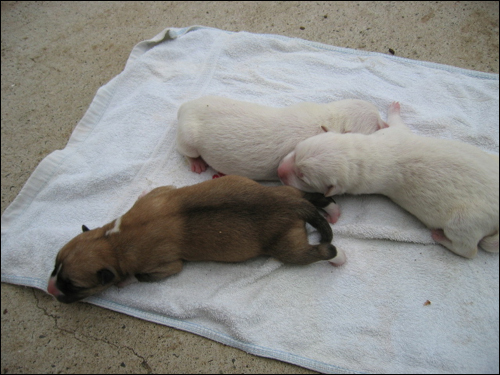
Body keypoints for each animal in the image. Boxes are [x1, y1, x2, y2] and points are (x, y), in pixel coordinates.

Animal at [47, 177, 344, 306]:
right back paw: (331, 209)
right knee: (312, 196)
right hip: (287, 191)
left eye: (73, 286)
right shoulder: (158, 195)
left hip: (287, 246)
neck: (113, 241)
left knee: (324, 249)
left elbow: (141, 275)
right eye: (54, 265)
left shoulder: (165, 266)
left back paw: (338, 257)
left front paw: (125, 281)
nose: (50, 290)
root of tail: (291, 206)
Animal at [176, 95, 386, 181]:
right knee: (183, 149)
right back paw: (196, 163)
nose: (387, 125)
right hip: (187, 137)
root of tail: (184, 107)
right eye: (376, 126)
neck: (331, 120)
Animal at [280, 101, 498, 260]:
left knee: (468, 250)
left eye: (302, 176)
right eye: (296, 151)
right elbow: (397, 126)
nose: (279, 171)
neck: (360, 154)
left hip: (464, 222)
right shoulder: (393, 134)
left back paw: (440, 236)